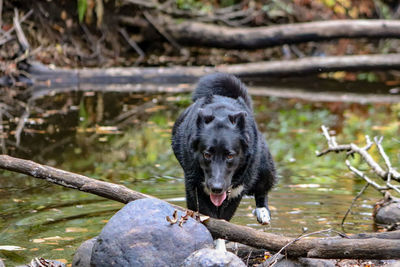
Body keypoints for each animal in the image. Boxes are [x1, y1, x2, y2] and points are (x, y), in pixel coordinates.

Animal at [170, 72, 276, 225]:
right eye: (207, 155)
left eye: (230, 156)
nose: (217, 188)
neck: (221, 113)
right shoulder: (195, 187)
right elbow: (208, 214)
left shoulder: (236, 192)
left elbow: (224, 217)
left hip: (264, 166)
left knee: (262, 190)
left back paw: (263, 212)